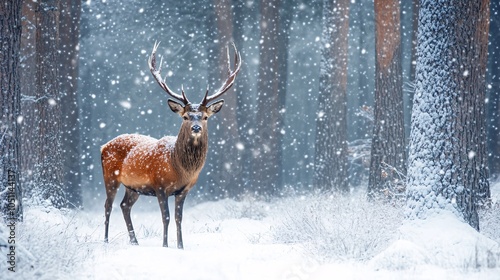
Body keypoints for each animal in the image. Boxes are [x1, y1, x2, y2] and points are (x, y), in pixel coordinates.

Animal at [100, 41, 241, 247]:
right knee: (108, 205)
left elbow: (178, 218)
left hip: (132, 186)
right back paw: (106, 240)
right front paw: (165, 245)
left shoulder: (184, 190)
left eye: (205, 117)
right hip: (110, 177)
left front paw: (181, 246)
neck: (180, 168)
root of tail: (103, 146)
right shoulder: (159, 185)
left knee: (124, 205)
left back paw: (135, 242)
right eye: (185, 116)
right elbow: (165, 217)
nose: (196, 127)